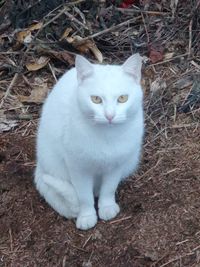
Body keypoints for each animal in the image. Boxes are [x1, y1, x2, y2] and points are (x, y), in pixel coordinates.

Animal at [34, 54, 144, 230]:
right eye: (96, 99)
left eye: (122, 98)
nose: (109, 115)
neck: (107, 136)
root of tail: (39, 165)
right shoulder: (78, 169)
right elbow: (84, 197)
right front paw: (86, 216)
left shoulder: (116, 165)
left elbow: (109, 189)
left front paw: (106, 207)